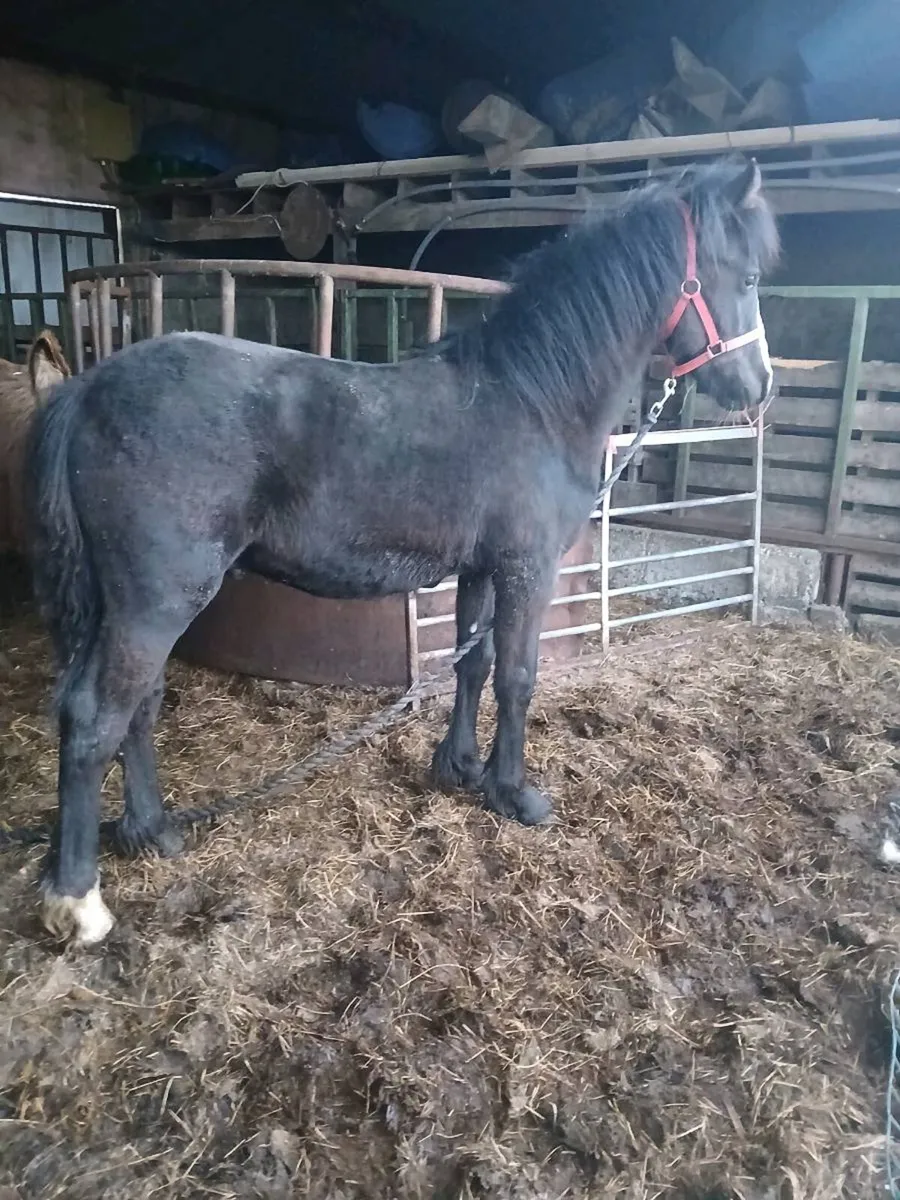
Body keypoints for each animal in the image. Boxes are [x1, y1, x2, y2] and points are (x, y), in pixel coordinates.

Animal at [26, 157, 778, 945]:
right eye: (750, 276)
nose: (761, 387)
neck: (533, 398)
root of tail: (86, 390)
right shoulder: (527, 569)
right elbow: (518, 676)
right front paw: (515, 794)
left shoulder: (481, 569)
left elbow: (473, 665)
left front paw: (461, 769)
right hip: (156, 600)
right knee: (95, 717)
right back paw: (78, 898)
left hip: (129, 603)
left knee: (135, 707)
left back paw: (152, 830)